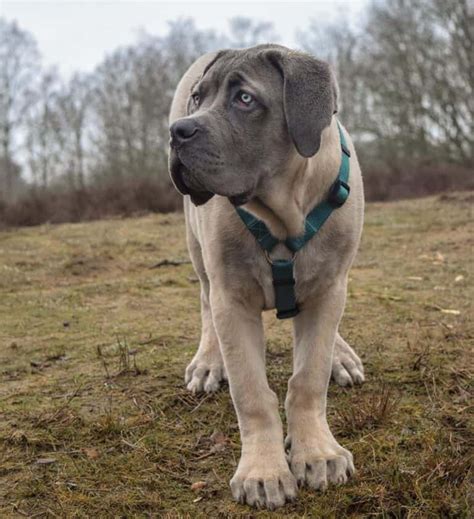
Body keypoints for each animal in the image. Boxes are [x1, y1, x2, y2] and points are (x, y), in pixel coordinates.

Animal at [168, 43, 364, 508]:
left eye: (245, 99)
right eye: (198, 98)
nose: (178, 132)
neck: (284, 211)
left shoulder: (329, 288)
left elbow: (308, 377)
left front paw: (318, 452)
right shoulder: (232, 300)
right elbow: (252, 393)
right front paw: (263, 472)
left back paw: (341, 355)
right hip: (197, 250)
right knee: (204, 302)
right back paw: (208, 362)